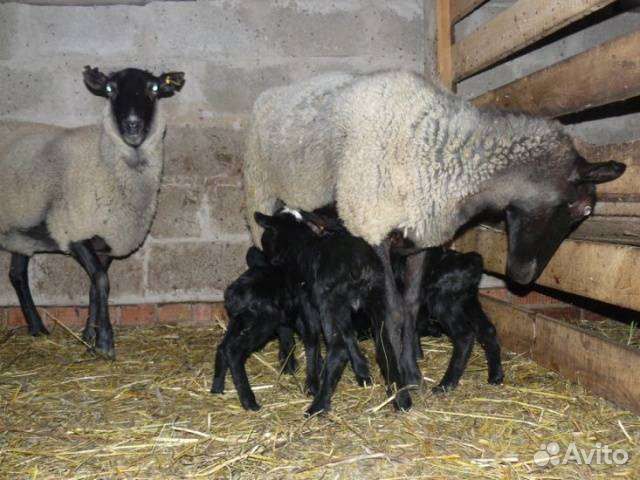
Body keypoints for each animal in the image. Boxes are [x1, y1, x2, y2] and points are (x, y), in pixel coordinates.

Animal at [0, 66, 185, 358]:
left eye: (154, 89)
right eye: (110, 89)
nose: (132, 125)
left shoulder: (107, 241)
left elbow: (94, 287)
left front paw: (89, 337)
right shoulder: (74, 231)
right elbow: (101, 281)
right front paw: (105, 342)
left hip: (20, 229)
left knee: (17, 275)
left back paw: (38, 329)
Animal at [242, 69, 625, 408]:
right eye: (582, 209)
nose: (523, 276)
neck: (438, 151)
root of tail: (270, 94)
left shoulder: (422, 237)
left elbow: (411, 306)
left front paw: (411, 371)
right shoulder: (373, 228)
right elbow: (393, 311)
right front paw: (398, 380)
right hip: (259, 193)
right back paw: (288, 358)